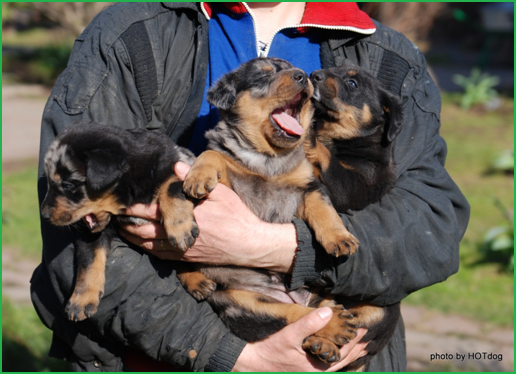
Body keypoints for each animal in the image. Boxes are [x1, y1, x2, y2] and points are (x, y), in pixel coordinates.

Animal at [39, 122, 198, 322]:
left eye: (67, 185)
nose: (43, 214)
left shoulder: (176, 166)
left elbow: (171, 188)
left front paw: (180, 228)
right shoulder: (90, 233)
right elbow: (89, 261)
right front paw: (81, 299)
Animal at [179, 57, 360, 364]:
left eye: (296, 70)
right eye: (262, 77)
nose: (303, 76)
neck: (269, 160)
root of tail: (288, 295)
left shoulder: (309, 186)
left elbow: (324, 209)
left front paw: (340, 238)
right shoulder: (230, 183)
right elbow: (213, 154)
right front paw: (198, 176)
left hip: (319, 290)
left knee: (318, 309)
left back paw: (325, 341)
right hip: (242, 300)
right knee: (293, 315)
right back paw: (334, 325)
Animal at [304, 65, 406, 372]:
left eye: (352, 83)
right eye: (330, 69)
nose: (314, 75)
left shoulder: (353, 185)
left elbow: (327, 158)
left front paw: (308, 134)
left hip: (379, 313)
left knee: (350, 326)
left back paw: (324, 345)